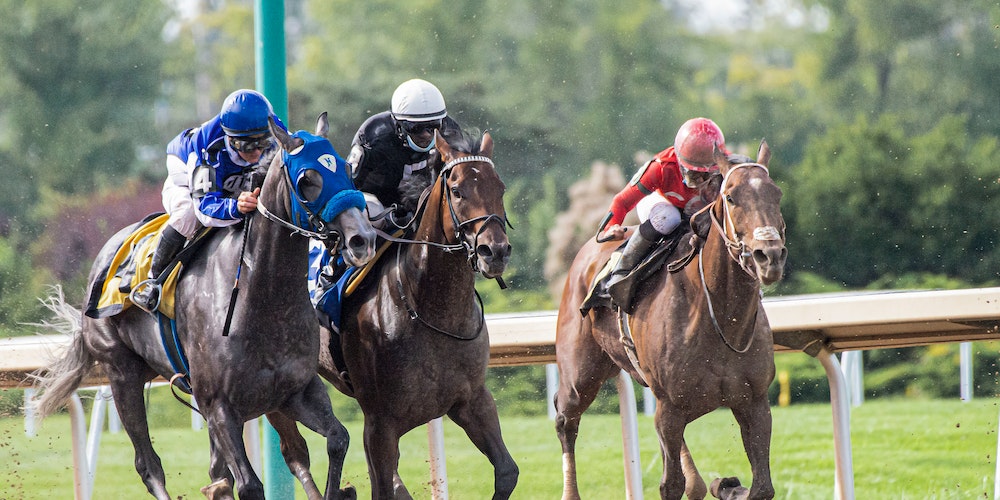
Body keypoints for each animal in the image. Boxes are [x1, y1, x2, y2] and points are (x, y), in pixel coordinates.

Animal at [32, 113, 376, 500]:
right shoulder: (219, 406)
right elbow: (249, 485)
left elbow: (338, 439)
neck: (262, 300)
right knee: (148, 465)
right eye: (307, 180)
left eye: (347, 168)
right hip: (121, 372)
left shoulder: (296, 391)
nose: (362, 239)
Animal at [270, 127, 520, 498]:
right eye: (457, 191)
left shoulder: (473, 400)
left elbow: (507, 472)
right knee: (295, 453)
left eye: (499, 187)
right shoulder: (380, 424)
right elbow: (382, 485)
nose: (496, 251)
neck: (431, 312)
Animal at [556, 142, 780, 500]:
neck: (718, 319)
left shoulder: (754, 403)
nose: (769, 256)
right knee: (566, 420)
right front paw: (722, 485)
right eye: (731, 197)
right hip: (581, 374)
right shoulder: (670, 408)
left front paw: (726, 485)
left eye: (777, 194)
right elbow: (670, 485)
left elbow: (761, 487)